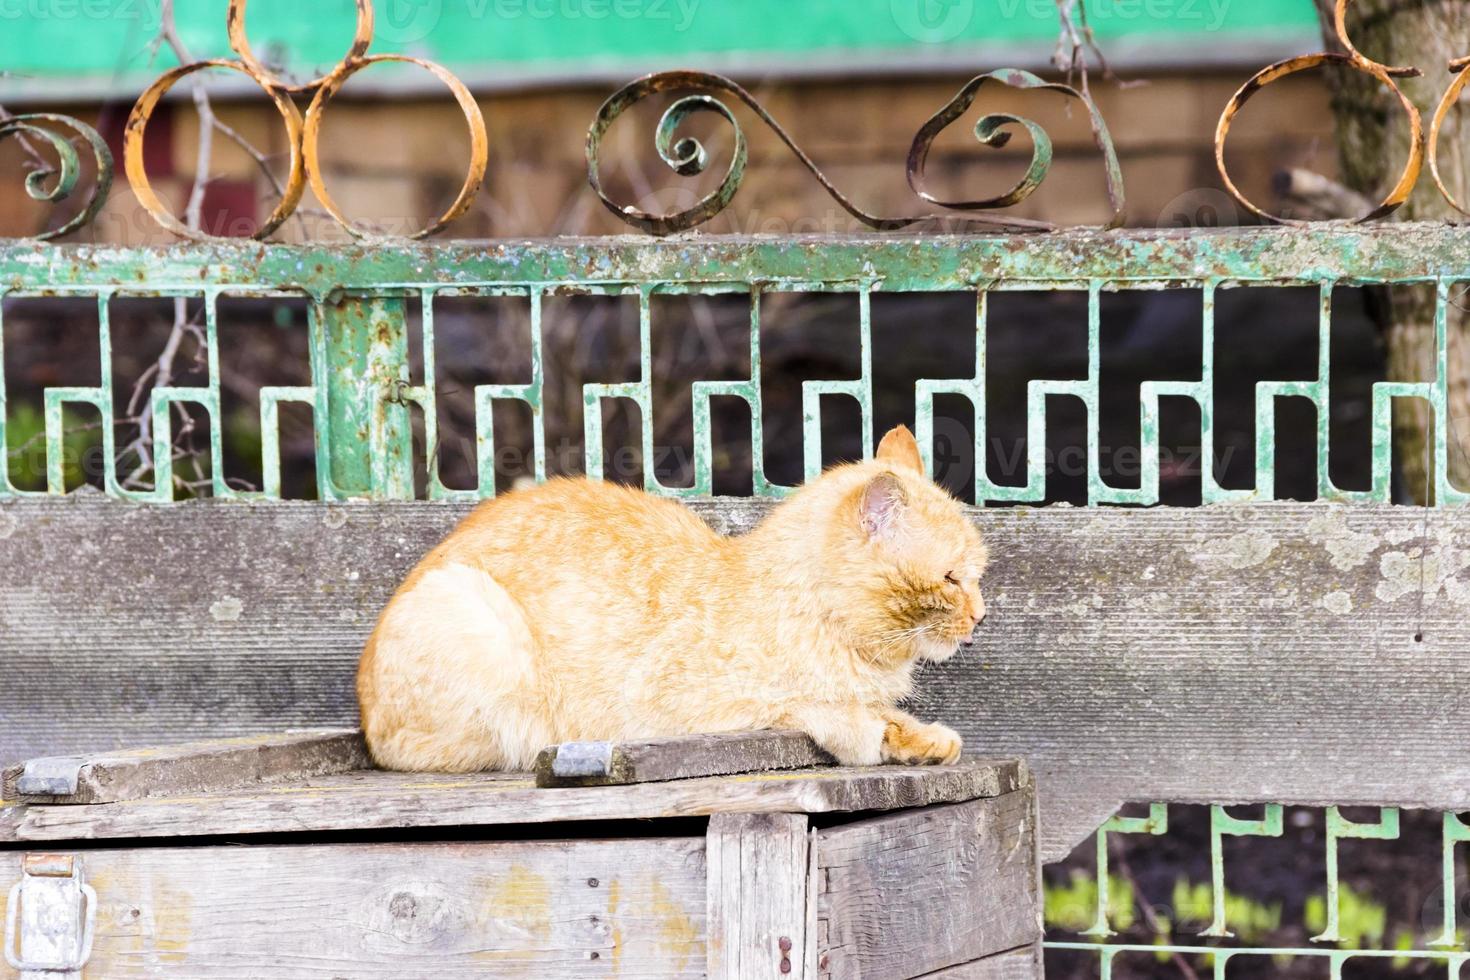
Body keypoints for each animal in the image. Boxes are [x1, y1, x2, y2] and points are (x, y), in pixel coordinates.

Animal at [358, 426, 987, 775]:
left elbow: (881, 711)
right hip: (473, 615)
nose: (981, 615)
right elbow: (819, 707)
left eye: (977, 576)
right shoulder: (687, 708)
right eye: (952, 578)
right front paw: (873, 731)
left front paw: (919, 737)